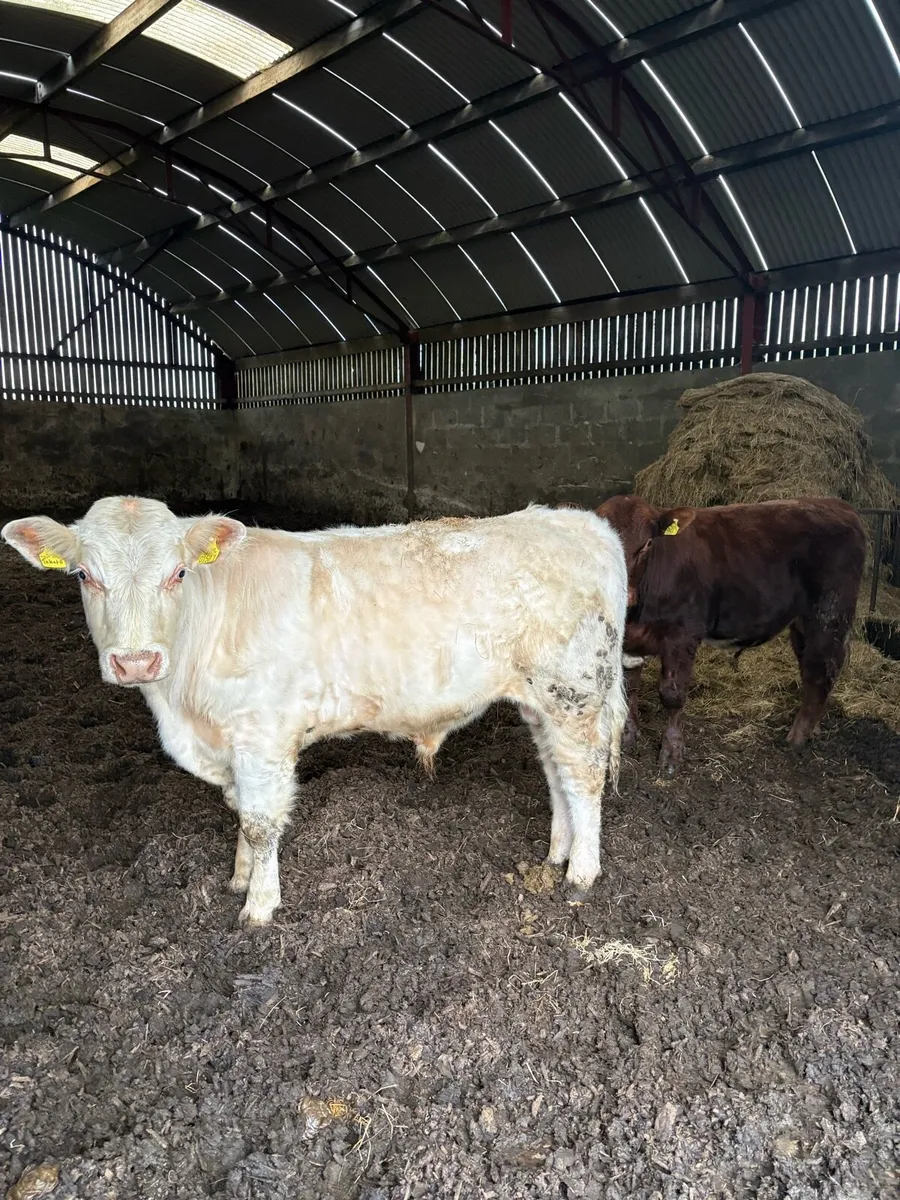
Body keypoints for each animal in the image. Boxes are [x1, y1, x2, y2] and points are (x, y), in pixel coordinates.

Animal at [2, 497, 629, 926]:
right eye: (83, 575)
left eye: (177, 572)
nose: (135, 661)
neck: (184, 707)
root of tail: (578, 521)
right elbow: (238, 811)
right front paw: (239, 878)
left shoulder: (262, 734)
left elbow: (260, 820)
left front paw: (259, 905)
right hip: (540, 700)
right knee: (555, 772)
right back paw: (557, 852)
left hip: (574, 692)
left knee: (584, 775)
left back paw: (582, 872)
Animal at [596, 494, 866, 774]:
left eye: (648, 544)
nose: (625, 595)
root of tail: (838, 506)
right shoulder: (627, 640)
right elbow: (628, 688)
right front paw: (628, 736)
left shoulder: (683, 634)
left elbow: (672, 694)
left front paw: (671, 752)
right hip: (803, 624)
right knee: (816, 671)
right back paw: (814, 728)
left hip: (829, 614)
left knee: (820, 671)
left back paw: (797, 738)